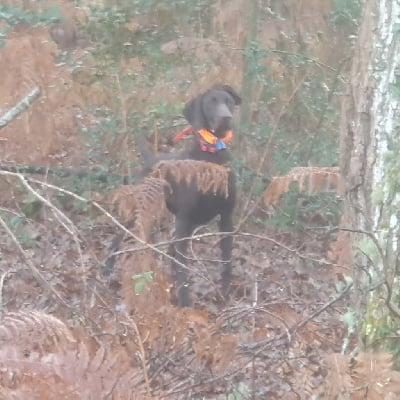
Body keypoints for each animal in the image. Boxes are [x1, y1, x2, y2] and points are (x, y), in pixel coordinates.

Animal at [141, 86, 241, 306]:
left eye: (228, 101)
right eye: (210, 102)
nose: (226, 118)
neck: (212, 157)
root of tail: (150, 159)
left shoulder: (226, 217)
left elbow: (227, 259)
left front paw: (224, 292)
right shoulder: (184, 219)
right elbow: (182, 266)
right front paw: (185, 301)